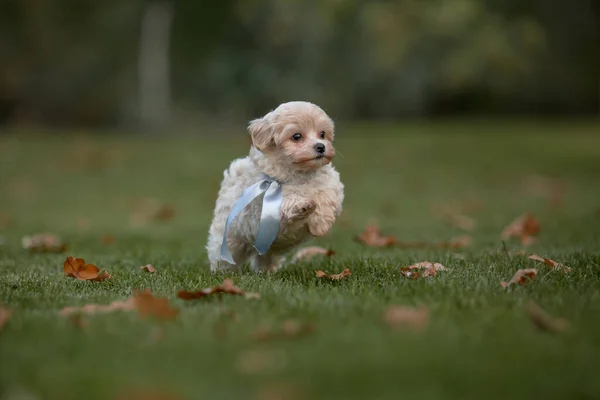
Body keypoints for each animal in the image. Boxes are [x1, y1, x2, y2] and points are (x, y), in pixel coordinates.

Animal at [206, 101, 344, 274]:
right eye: (297, 137)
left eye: (322, 134)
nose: (321, 147)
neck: (301, 174)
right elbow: (290, 198)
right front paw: (304, 205)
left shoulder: (332, 184)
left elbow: (326, 195)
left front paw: (321, 223)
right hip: (229, 236)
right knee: (223, 254)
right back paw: (222, 272)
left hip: (267, 245)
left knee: (265, 257)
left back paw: (266, 271)